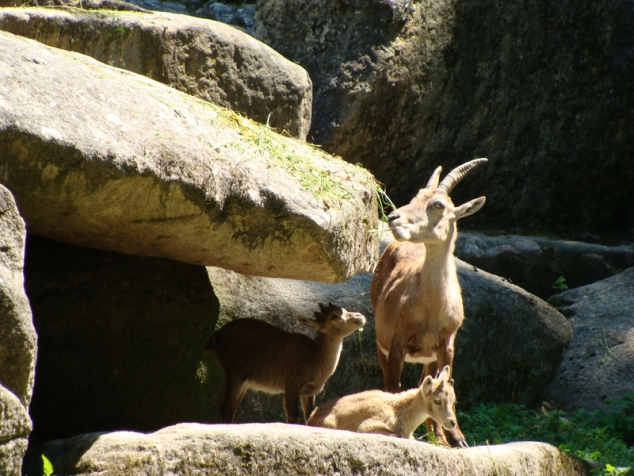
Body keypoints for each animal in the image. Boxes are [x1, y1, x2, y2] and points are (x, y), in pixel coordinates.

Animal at [205, 304, 366, 422]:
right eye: (333, 316)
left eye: (344, 309)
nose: (360, 316)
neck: (315, 358)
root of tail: (216, 336)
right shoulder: (292, 383)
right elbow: (293, 415)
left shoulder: (308, 391)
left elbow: (310, 415)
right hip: (234, 372)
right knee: (226, 408)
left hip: (244, 382)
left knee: (231, 408)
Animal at [304, 364, 454, 438]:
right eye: (437, 401)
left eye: (452, 400)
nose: (452, 422)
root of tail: (312, 417)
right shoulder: (368, 426)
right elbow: (398, 435)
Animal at [370, 158, 484, 448]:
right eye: (415, 197)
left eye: (438, 204)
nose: (394, 218)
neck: (432, 310)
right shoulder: (397, 342)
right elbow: (394, 387)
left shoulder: (447, 344)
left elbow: (447, 384)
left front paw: (455, 439)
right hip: (381, 342)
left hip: (429, 356)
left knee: (427, 378)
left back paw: (438, 435)